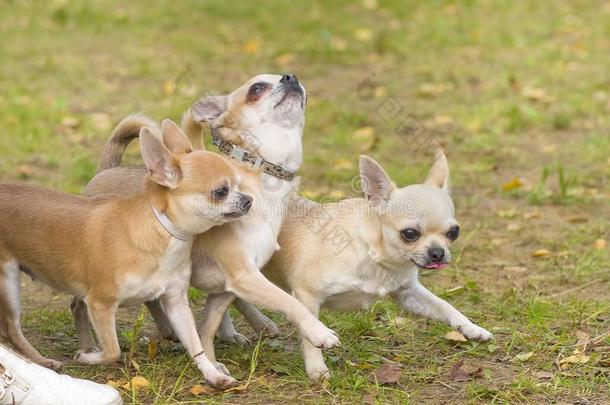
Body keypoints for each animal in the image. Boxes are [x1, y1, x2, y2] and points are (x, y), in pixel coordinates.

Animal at [0, 120, 248, 388]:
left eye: (240, 184)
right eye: (221, 191)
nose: (248, 200)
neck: (162, 230)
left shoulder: (176, 303)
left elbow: (195, 344)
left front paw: (213, 374)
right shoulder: (100, 303)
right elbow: (112, 350)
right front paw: (87, 358)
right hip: (8, 279)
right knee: (12, 328)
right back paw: (45, 361)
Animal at [76, 72, 340, 376]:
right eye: (256, 89)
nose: (290, 77)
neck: (259, 174)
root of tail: (106, 169)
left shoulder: (232, 282)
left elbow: (208, 329)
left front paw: (211, 362)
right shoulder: (243, 274)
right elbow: (290, 301)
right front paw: (319, 332)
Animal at [211, 150, 492, 378]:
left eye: (454, 232)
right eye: (410, 234)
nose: (438, 253)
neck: (375, 256)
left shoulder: (408, 293)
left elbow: (445, 306)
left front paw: (471, 328)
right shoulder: (307, 295)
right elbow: (308, 331)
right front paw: (317, 368)